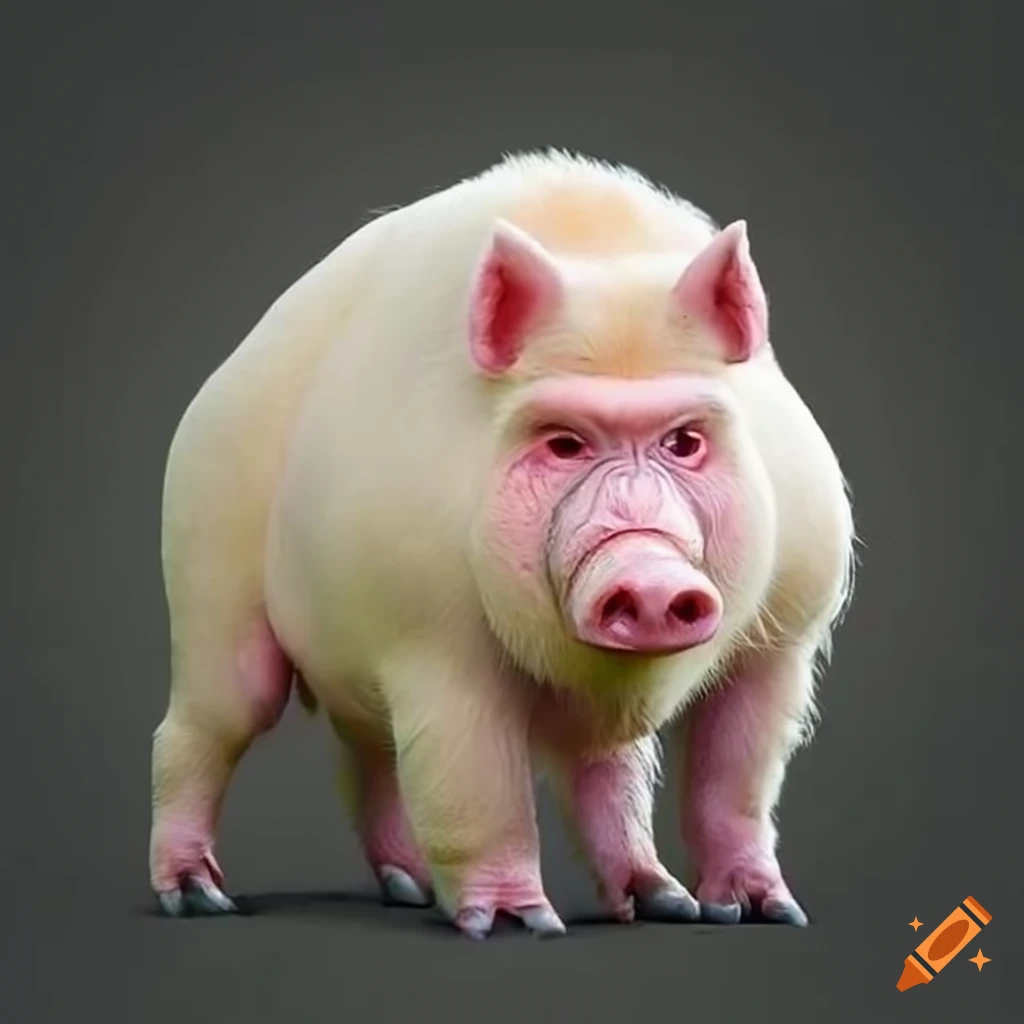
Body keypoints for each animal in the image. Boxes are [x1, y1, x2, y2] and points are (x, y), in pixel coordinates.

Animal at [150, 149, 855, 938]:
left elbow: (738, 780)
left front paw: (763, 913)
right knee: (208, 724)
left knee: (467, 759)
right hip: (207, 567)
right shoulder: (432, 640)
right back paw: (198, 899)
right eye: (565, 443)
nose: (651, 578)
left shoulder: (786, 635)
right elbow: (476, 782)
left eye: (684, 441)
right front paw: (525, 925)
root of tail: (220, 381)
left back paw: (632, 899)